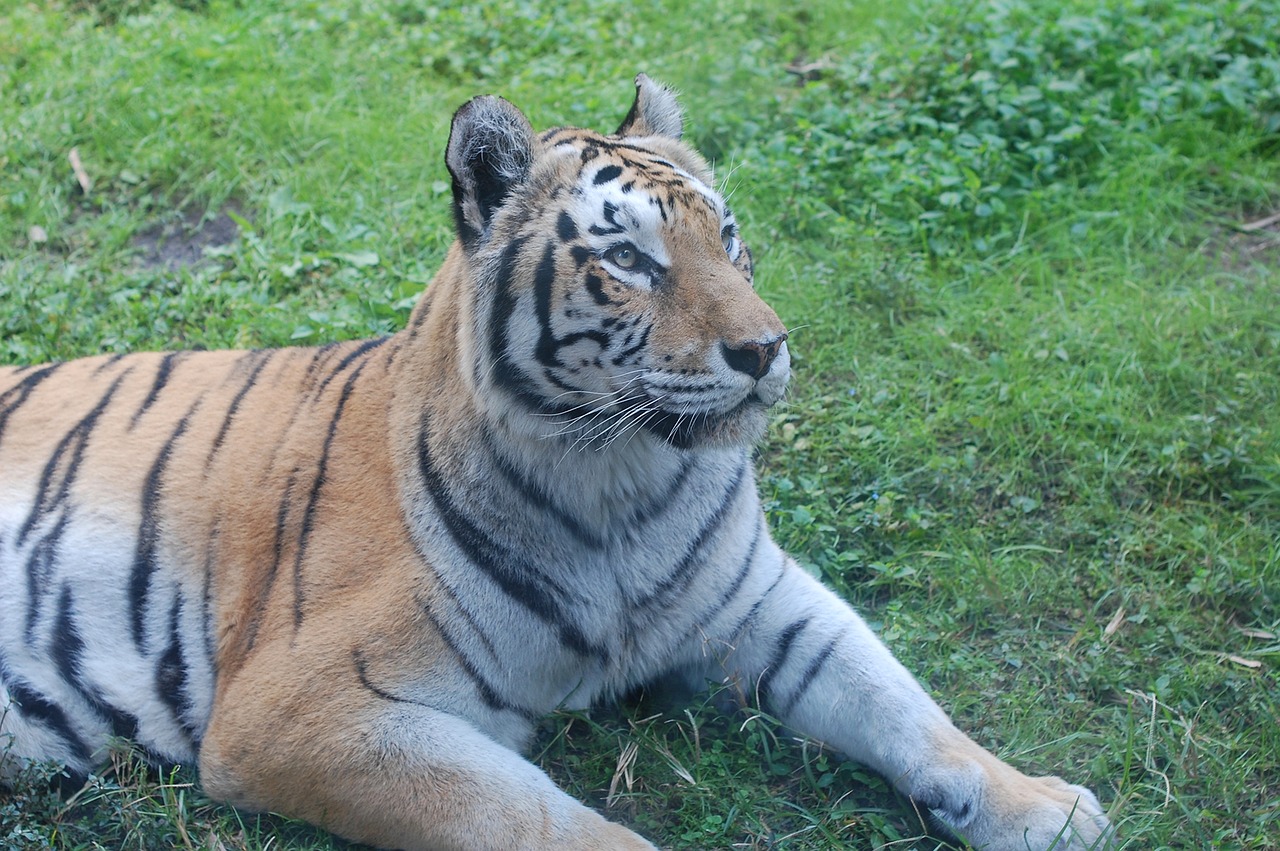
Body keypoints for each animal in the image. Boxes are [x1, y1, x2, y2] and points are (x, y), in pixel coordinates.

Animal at [0, 76, 1111, 844]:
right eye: (627, 258)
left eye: (729, 236)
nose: (764, 350)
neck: (629, 482)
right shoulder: (300, 713)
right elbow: (539, 820)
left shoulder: (760, 599)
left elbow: (899, 698)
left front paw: (1038, 804)